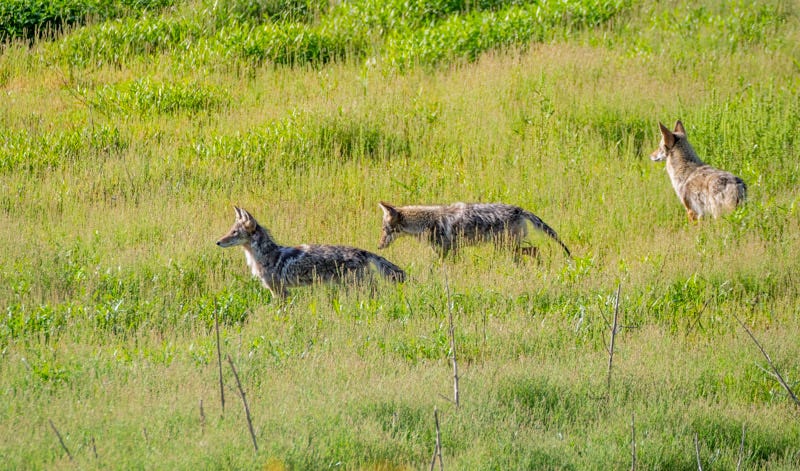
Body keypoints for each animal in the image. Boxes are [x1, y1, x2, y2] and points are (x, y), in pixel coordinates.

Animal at [217, 207, 405, 299]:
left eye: (234, 232)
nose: (218, 242)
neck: (263, 256)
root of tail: (362, 251)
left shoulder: (279, 290)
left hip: (358, 285)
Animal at [377, 201, 571, 259]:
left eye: (385, 230)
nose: (378, 246)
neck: (426, 222)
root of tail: (519, 209)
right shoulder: (451, 251)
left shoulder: (445, 251)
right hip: (508, 248)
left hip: (507, 247)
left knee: (535, 251)